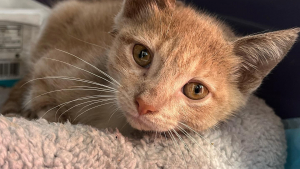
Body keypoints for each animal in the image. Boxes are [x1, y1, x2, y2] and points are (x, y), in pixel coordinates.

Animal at [1, 0, 298, 135]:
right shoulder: (49, 67)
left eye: (196, 90)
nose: (145, 104)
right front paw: (40, 114)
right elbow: (44, 105)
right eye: (142, 54)